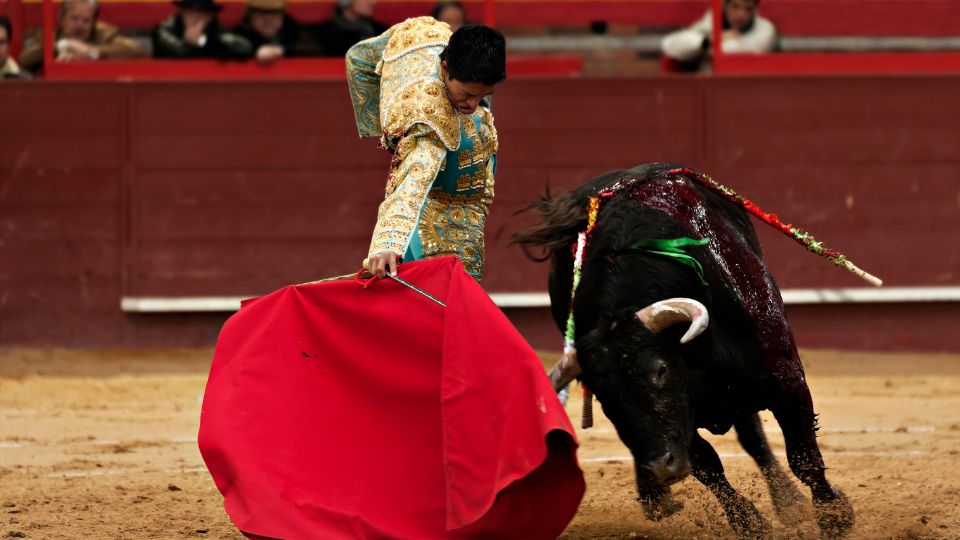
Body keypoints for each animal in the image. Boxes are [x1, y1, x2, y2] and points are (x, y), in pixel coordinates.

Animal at [512, 166, 860, 540]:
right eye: (604, 396)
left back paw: (788, 502)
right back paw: (655, 497)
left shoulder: (784, 376)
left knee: (755, 438)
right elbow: (707, 464)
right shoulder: (684, 416)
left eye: (661, 370)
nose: (660, 469)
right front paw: (748, 523)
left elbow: (801, 453)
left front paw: (834, 516)